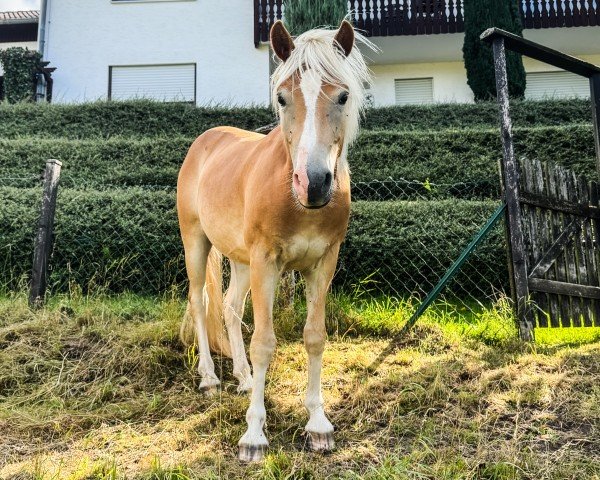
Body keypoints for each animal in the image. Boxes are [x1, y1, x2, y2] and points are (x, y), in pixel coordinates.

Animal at [175, 18, 370, 462]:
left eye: (343, 95)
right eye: (282, 97)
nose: (313, 183)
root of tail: (205, 141)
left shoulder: (323, 263)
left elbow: (314, 337)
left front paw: (318, 425)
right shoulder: (268, 261)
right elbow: (264, 342)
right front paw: (253, 436)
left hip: (242, 260)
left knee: (231, 309)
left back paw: (245, 378)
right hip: (197, 242)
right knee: (200, 302)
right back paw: (209, 379)